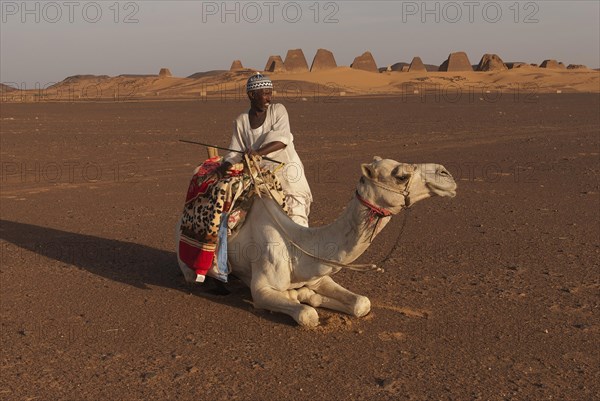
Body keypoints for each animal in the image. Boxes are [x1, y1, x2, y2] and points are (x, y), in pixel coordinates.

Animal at [176, 156, 458, 324]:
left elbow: (361, 303)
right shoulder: (262, 288)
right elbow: (307, 315)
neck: (298, 247)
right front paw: (299, 299)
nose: (446, 174)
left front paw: (307, 294)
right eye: (401, 175)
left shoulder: (319, 274)